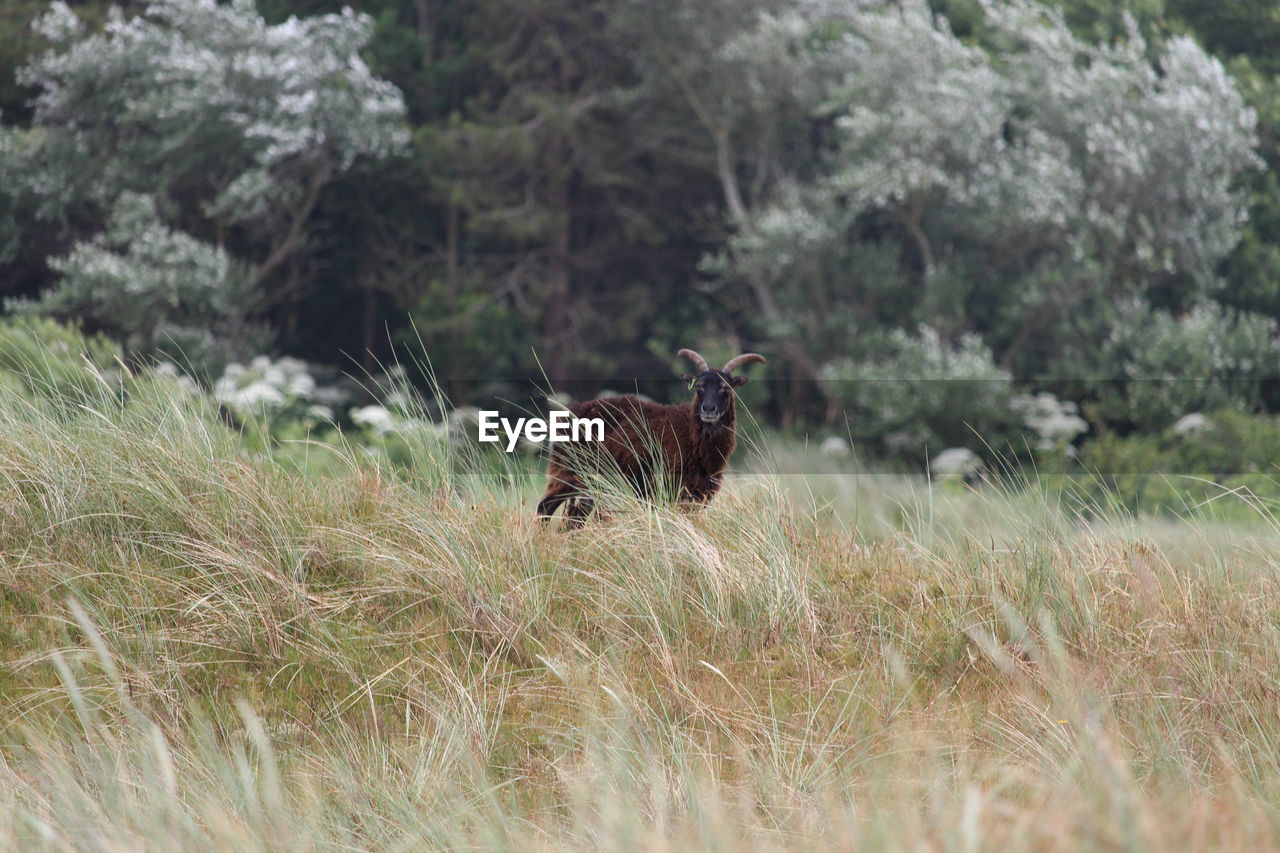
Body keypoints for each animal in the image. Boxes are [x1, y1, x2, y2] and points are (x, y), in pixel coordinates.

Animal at [535, 348, 762, 525]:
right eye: (699, 388)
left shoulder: (696, 496)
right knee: (545, 508)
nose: (708, 409)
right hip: (568, 472)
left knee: (572, 519)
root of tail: (571, 411)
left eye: (726, 388)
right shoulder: (661, 489)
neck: (690, 434)